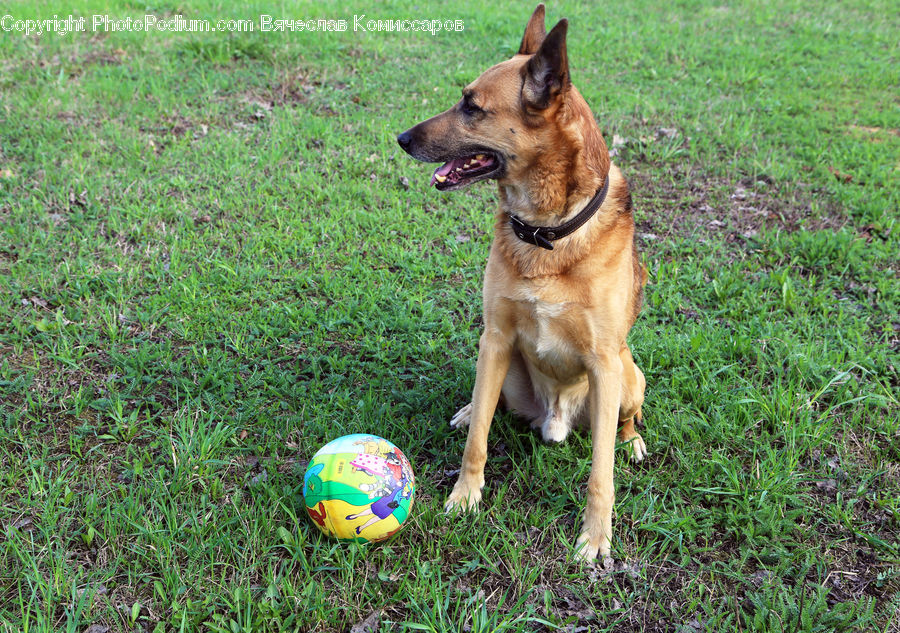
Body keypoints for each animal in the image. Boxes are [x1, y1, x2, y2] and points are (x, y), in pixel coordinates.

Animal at [400, 2, 648, 560]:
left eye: (472, 106)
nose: (401, 139)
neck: (545, 233)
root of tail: (555, 420)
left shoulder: (605, 363)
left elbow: (601, 472)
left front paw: (595, 537)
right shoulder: (495, 339)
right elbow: (477, 441)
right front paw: (464, 496)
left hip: (629, 376)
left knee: (625, 421)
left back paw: (633, 440)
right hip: (509, 369)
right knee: (489, 404)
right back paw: (469, 408)